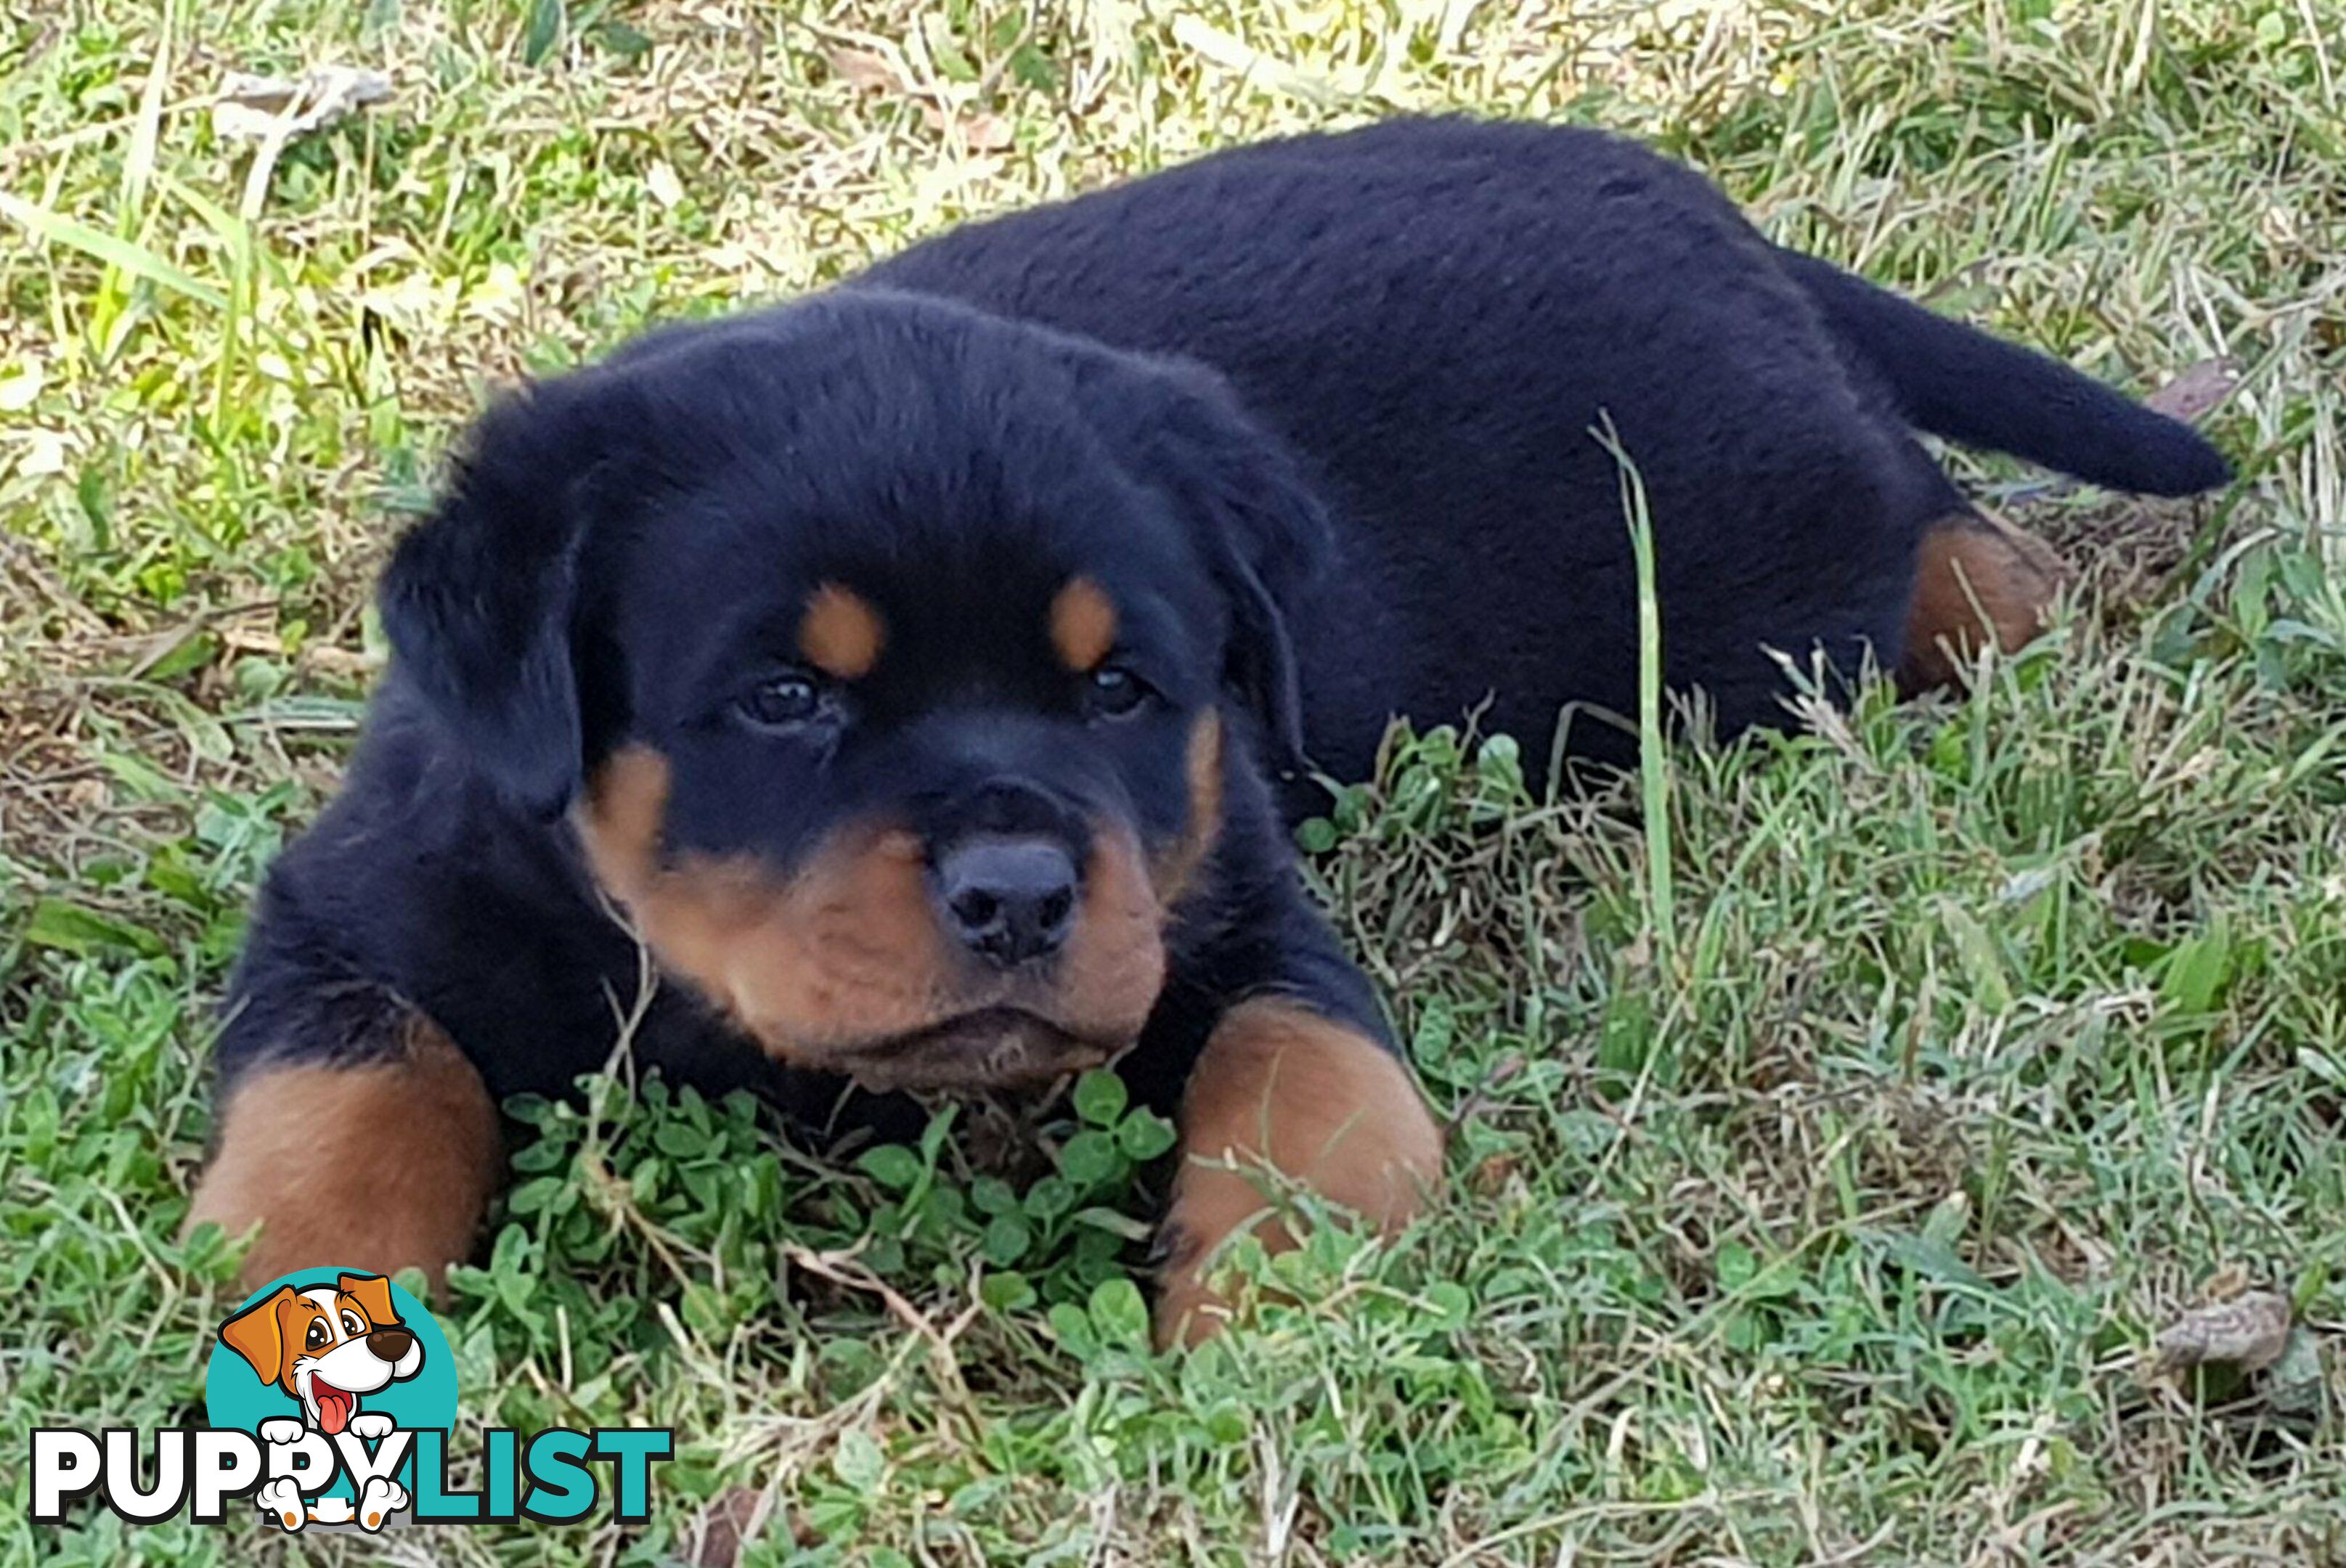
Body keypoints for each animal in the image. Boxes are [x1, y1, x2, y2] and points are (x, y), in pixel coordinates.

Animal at [183, 115, 2215, 1340]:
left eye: (1119, 687)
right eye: (782, 697)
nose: (1017, 893)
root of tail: (1704, 206)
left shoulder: (1226, 901)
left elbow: (1309, 1078)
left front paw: (1287, 1312)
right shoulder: (355, 901)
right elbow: (350, 1089)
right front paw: (287, 1301)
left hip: (1776, 567)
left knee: (1966, 547)